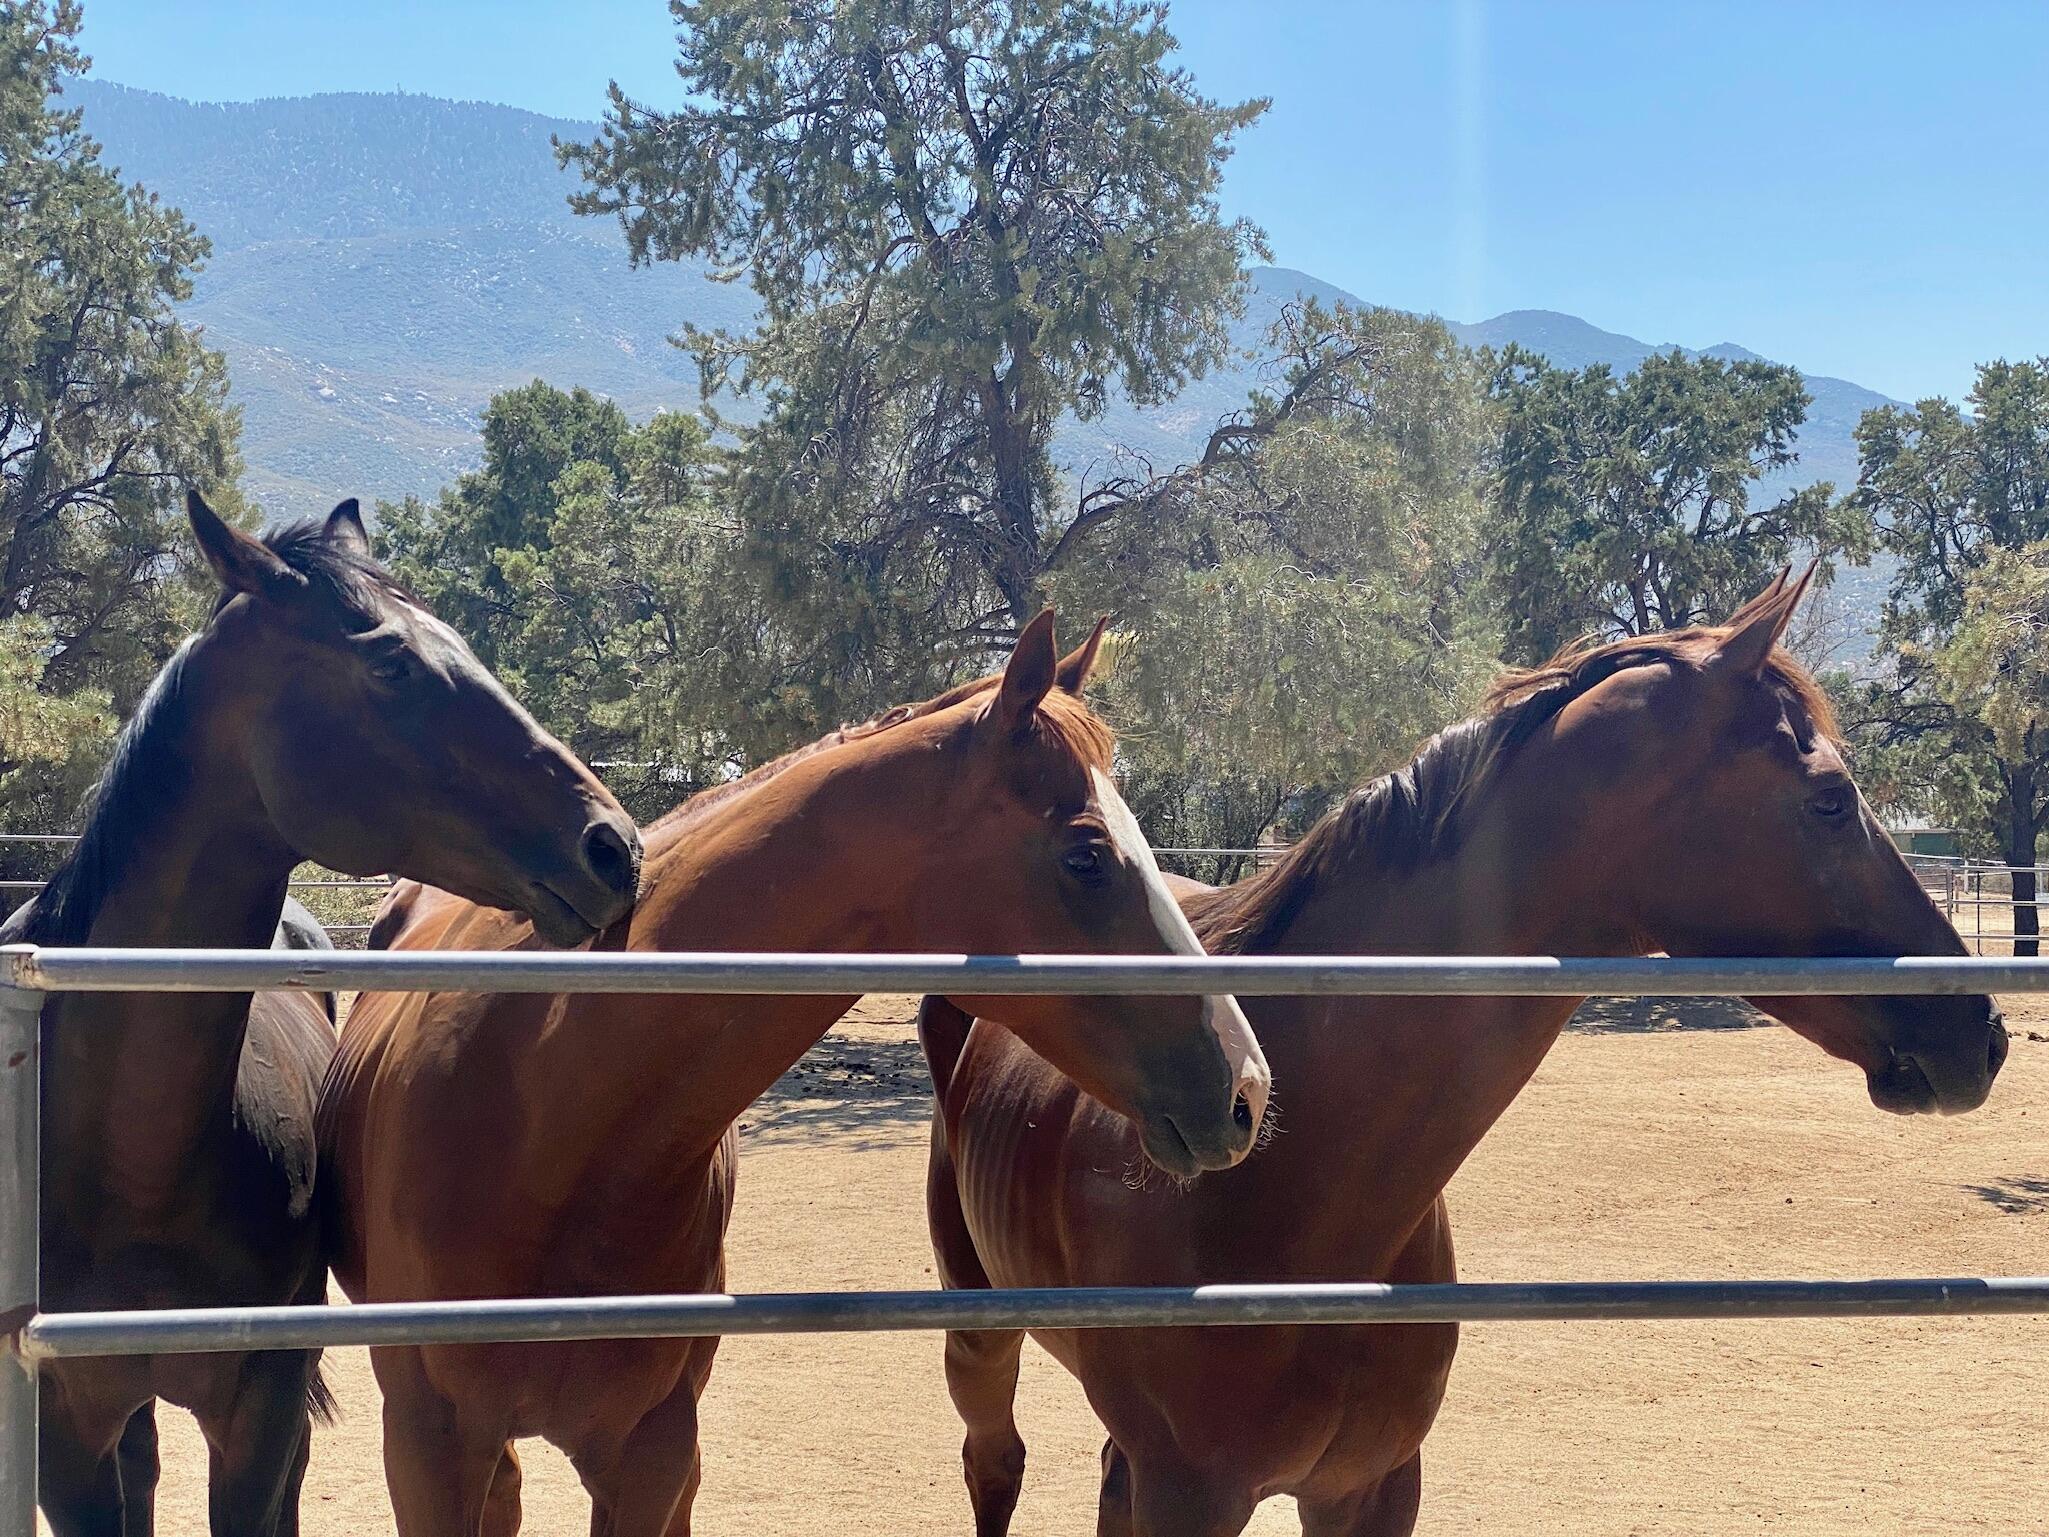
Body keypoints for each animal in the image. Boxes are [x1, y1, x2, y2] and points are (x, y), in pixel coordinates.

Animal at [922, 573, 2008, 1537]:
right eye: (1828, 798)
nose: (1983, 1035)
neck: (1292, 1188)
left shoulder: (1367, 1489)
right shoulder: (1188, 1495)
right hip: (980, 1336)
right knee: (993, 1464)